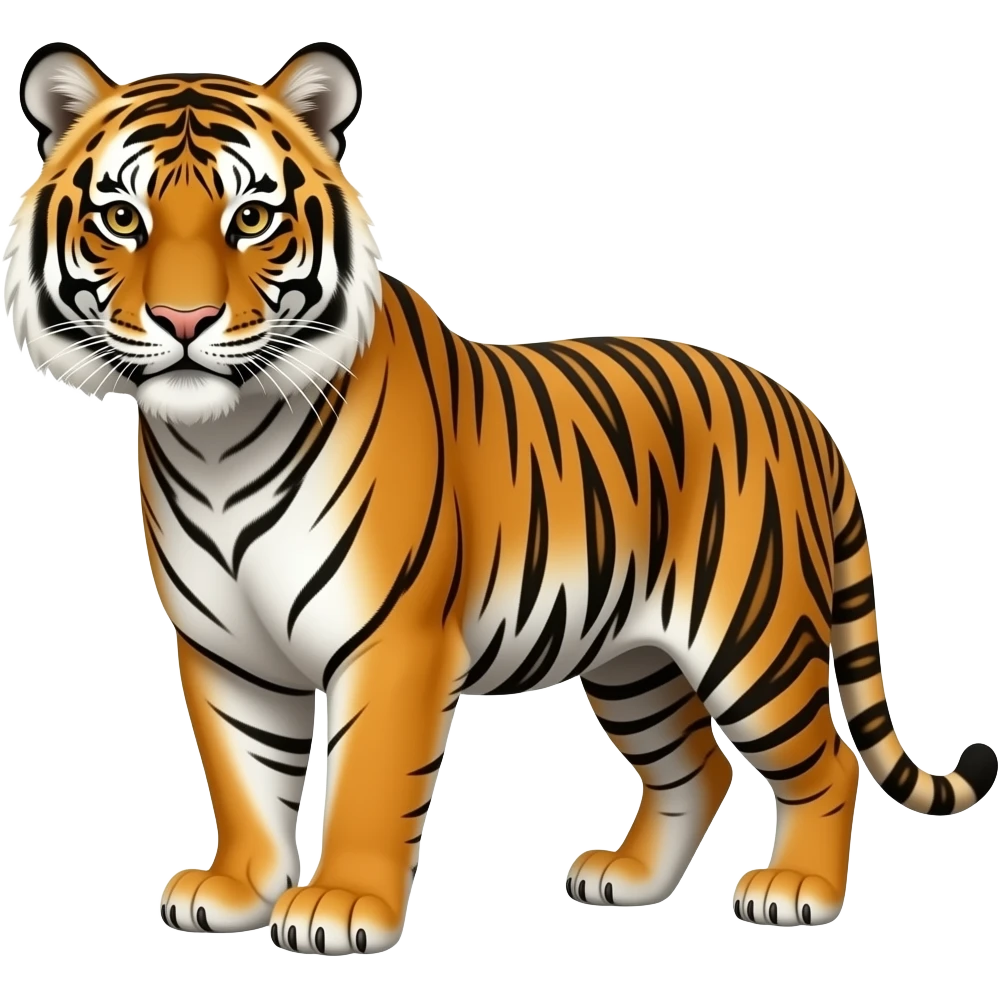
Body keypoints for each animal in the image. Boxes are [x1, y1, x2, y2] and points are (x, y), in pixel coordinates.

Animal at [5, 39, 996, 957]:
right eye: (122, 219)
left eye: (251, 218)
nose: (183, 322)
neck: (214, 442)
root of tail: (799, 408)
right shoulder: (225, 648)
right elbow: (245, 775)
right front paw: (237, 888)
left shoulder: (393, 638)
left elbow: (368, 780)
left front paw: (341, 906)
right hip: (634, 660)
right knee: (695, 767)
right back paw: (627, 879)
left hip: (751, 639)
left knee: (824, 760)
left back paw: (796, 891)